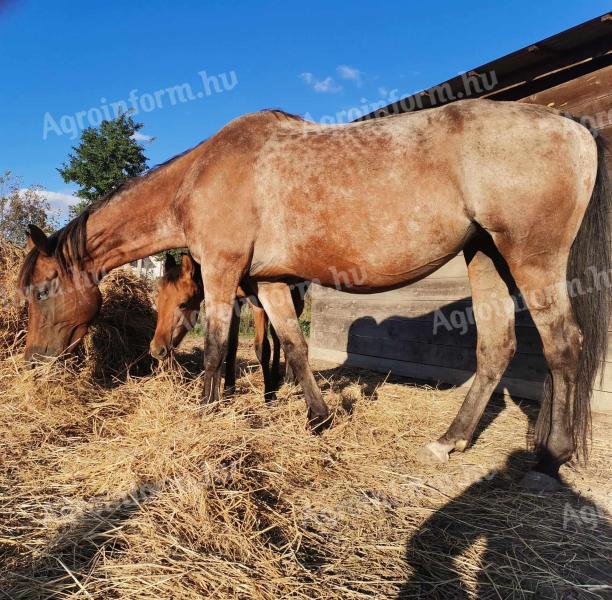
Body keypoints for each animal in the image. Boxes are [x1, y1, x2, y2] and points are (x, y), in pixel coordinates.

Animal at [19, 99, 608, 492]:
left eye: (42, 288)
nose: (34, 359)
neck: (202, 175)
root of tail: (570, 124)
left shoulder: (223, 274)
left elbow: (215, 349)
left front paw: (207, 415)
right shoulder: (270, 283)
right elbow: (293, 348)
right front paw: (318, 418)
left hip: (532, 258)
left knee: (563, 346)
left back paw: (549, 459)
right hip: (484, 254)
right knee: (497, 348)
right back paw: (452, 439)